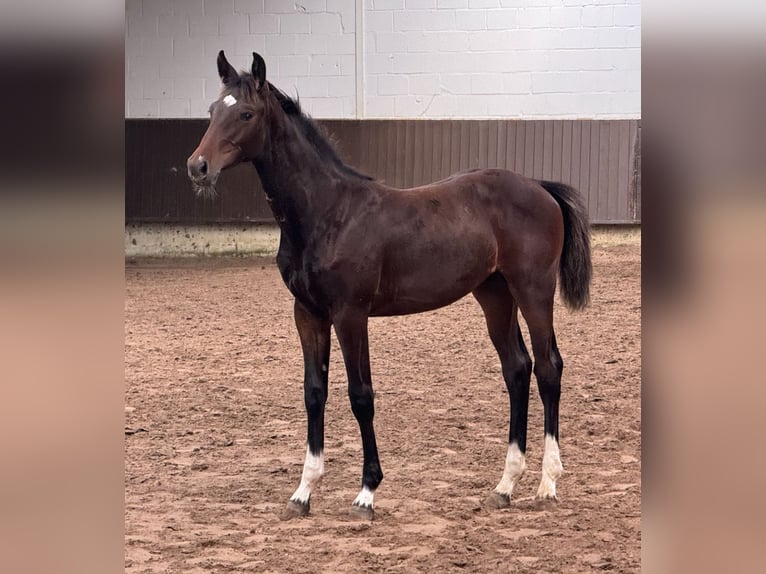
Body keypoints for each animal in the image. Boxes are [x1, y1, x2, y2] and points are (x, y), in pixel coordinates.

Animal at [188, 53, 592, 520]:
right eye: (212, 111)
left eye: (246, 114)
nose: (197, 167)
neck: (329, 212)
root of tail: (540, 187)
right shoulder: (307, 313)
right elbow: (314, 393)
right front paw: (303, 493)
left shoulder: (351, 313)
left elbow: (361, 396)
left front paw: (366, 492)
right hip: (494, 293)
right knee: (517, 368)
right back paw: (505, 485)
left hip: (532, 289)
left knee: (548, 367)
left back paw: (547, 482)